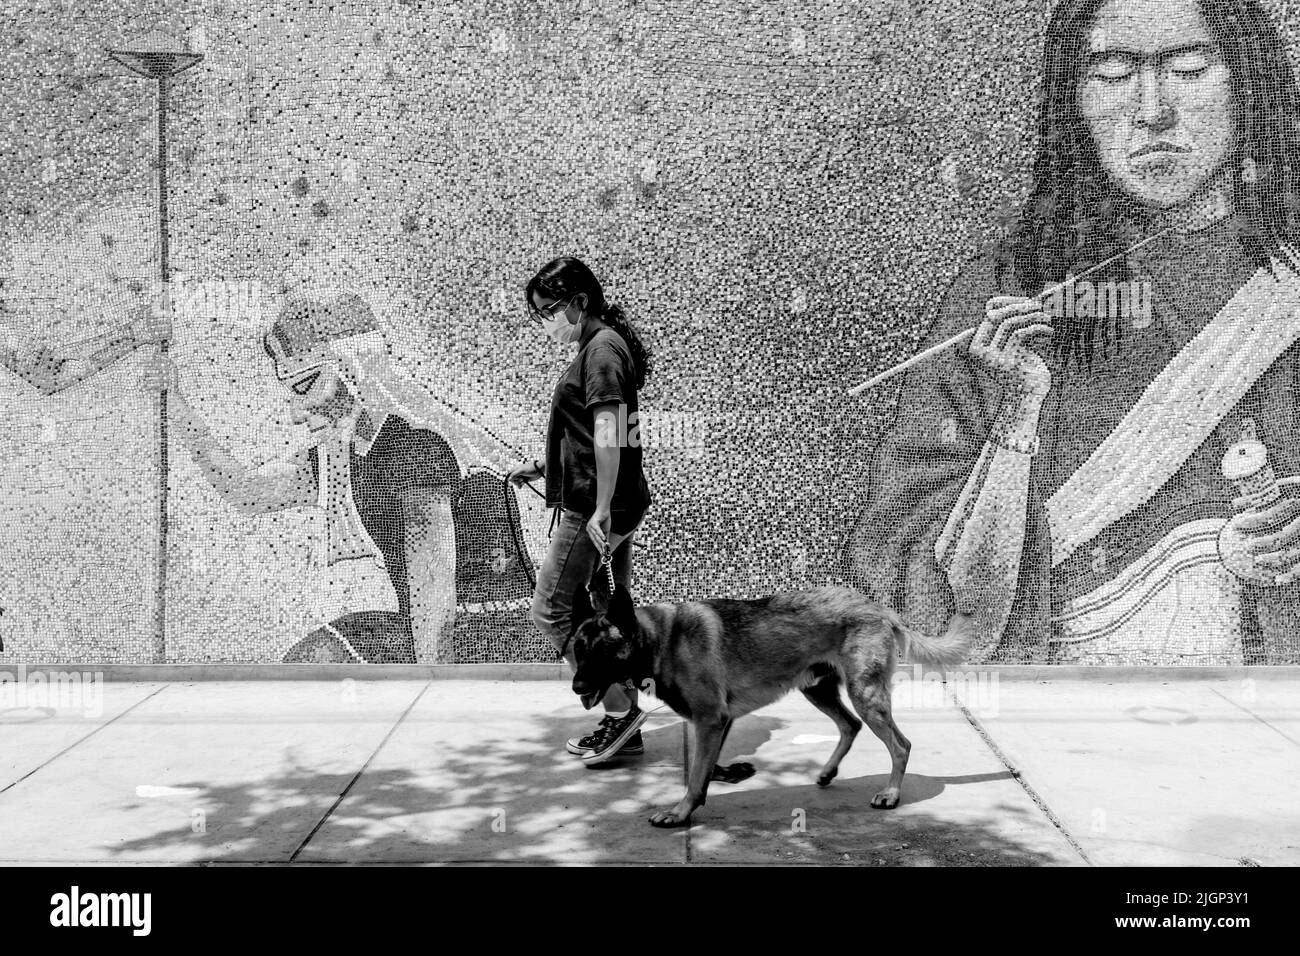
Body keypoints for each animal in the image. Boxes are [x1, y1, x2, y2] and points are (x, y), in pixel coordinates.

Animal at [572, 582, 977, 832]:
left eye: (602, 651)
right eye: (577, 650)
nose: (577, 687)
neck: (661, 640)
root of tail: (880, 608)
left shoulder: (709, 720)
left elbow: (696, 774)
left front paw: (680, 812)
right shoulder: (718, 722)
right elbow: (704, 769)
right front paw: (727, 776)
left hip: (865, 695)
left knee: (900, 744)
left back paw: (891, 794)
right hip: (818, 691)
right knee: (850, 725)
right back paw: (828, 772)